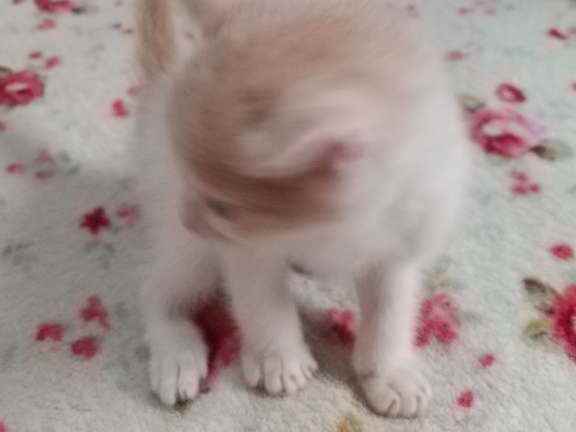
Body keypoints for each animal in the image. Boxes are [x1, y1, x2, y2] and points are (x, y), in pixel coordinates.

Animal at [135, 0, 470, 418]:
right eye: (192, 180)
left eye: (221, 206)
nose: (189, 218)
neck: (331, 226)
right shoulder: (246, 247)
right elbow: (263, 299)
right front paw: (278, 359)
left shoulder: (404, 232)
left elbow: (391, 308)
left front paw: (389, 372)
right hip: (184, 238)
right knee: (156, 289)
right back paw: (177, 355)